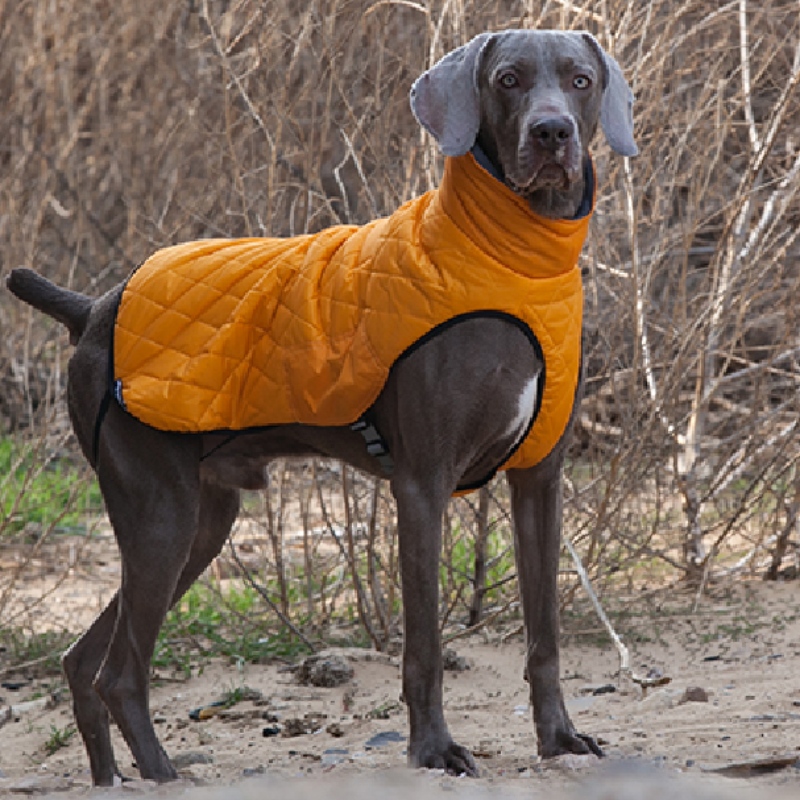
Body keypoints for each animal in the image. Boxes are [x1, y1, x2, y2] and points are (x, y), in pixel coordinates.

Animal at [3, 29, 636, 780]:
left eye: (579, 79)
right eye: (508, 79)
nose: (551, 132)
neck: (515, 263)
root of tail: (93, 308)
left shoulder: (539, 480)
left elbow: (545, 635)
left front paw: (559, 738)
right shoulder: (421, 486)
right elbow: (424, 644)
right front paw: (434, 750)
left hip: (200, 520)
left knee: (81, 662)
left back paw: (115, 781)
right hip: (160, 512)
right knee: (119, 673)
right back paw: (164, 776)